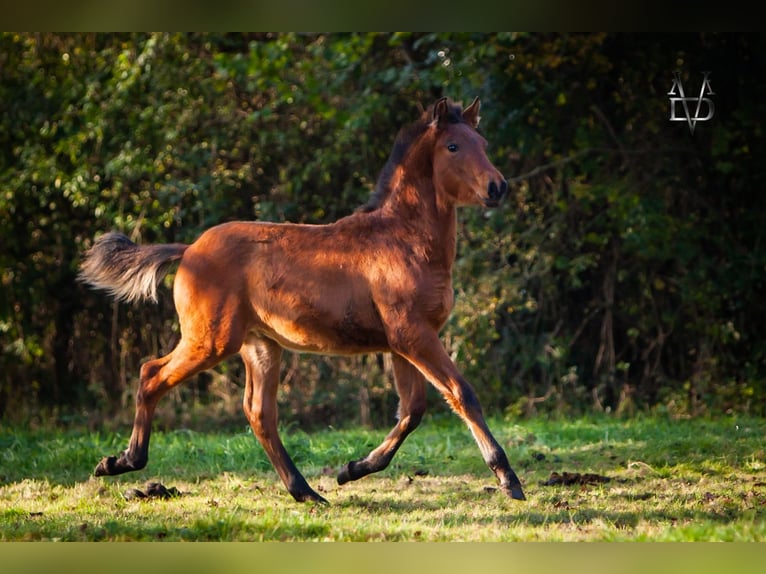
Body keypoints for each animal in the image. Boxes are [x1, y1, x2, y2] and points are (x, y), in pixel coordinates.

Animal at [78, 97, 524, 506]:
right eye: (453, 146)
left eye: (482, 142)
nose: (497, 187)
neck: (404, 239)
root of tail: (189, 251)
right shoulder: (412, 335)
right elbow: (462, 394)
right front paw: (508, 480)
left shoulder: (404, 342)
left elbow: (412, 410)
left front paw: (353, 469)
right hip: (211, 341)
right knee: (151, 374)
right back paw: (122, 462)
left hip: (260, 346)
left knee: (260, 414)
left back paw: (306, 491)